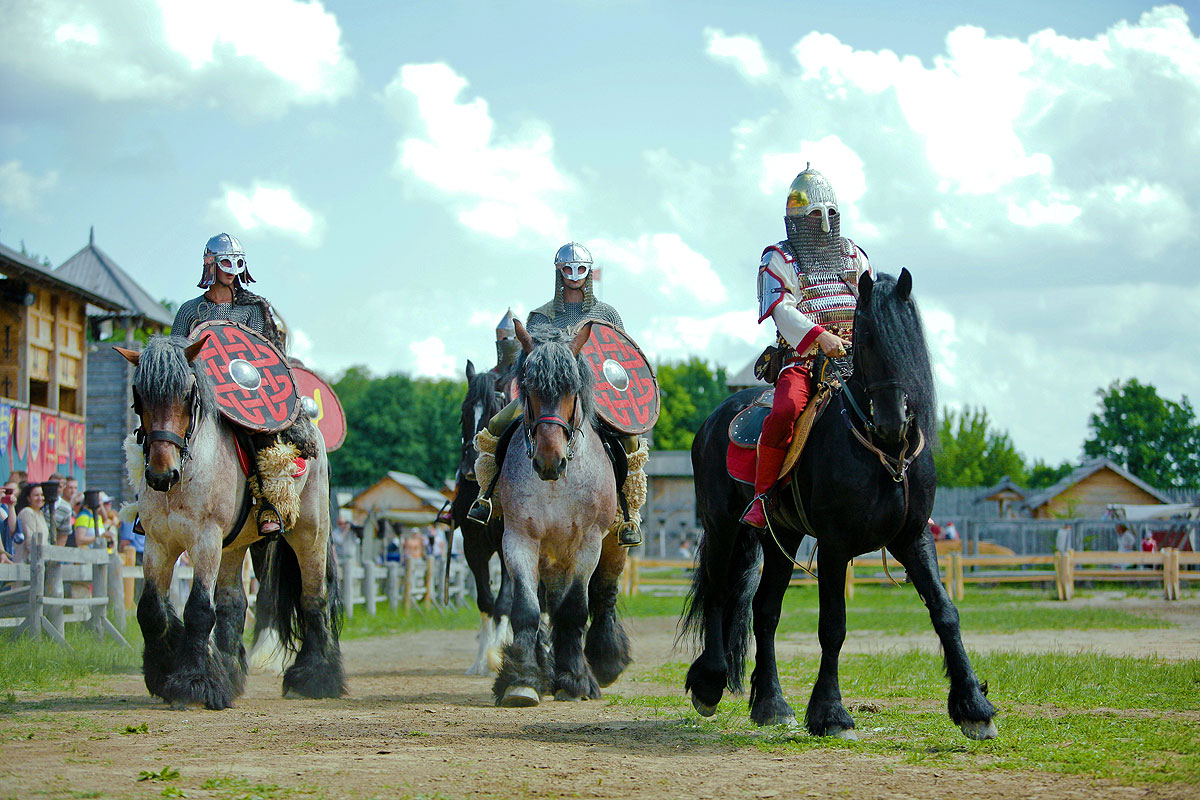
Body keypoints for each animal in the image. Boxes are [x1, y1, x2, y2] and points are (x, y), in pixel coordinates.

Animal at [117, 335, 346, 709]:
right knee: (233, 603)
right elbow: (150, 608)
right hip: (233, 546)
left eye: (187, 393)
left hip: (309, 535)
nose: (161, 475)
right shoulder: (158, 543)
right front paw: (164, 672)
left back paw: (315, 677)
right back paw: (229, 671)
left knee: (314, 599)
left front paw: (194, 683)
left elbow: (198, 609)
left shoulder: (205, 540)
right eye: (139, 394)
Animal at [491, 320, 632, 706]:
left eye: (572, 388)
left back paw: (603, 663)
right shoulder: (519, 539)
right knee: (548, 603)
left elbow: (575, 609)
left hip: (611, 546)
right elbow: (526, 609)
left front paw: (574, 679)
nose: (548, 460)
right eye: (528, 387)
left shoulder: (588, 543)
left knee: (604, 594)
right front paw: (521, 679)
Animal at [682, 270, 997, 740]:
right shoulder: (833, 545)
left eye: (911, 337)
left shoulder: (913, 538)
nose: (893, 422)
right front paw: (831, 712)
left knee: (764, 610)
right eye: (865, 339)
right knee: (720, 594)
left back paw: (772, 704)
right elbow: (833, 625)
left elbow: (945, 611)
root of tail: (715, 420)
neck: (881, 453)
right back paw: (710, 683)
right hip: (723, 527)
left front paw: (973, 705)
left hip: (781, 536)